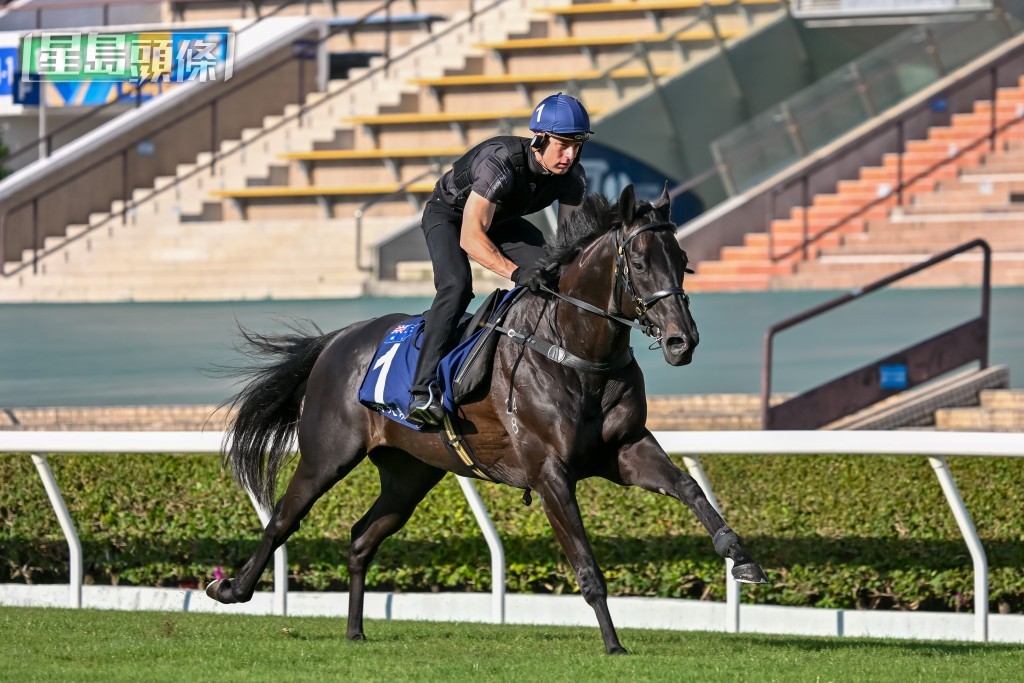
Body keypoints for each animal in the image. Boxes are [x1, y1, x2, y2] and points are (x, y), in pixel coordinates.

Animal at [207, 184, 765, 655]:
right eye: (643, 263)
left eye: (684, 262)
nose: (681, 341)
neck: (574, 349)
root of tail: (337, 339)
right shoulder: (550, 472)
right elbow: (586, 564)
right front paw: (613, 644)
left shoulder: (625, 449)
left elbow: (690, 488)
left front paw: (742, 558)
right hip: (327, 453)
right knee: (283, 519)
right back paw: (231, 589)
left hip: (410, 473)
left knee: (362, 537)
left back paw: (355, 631)